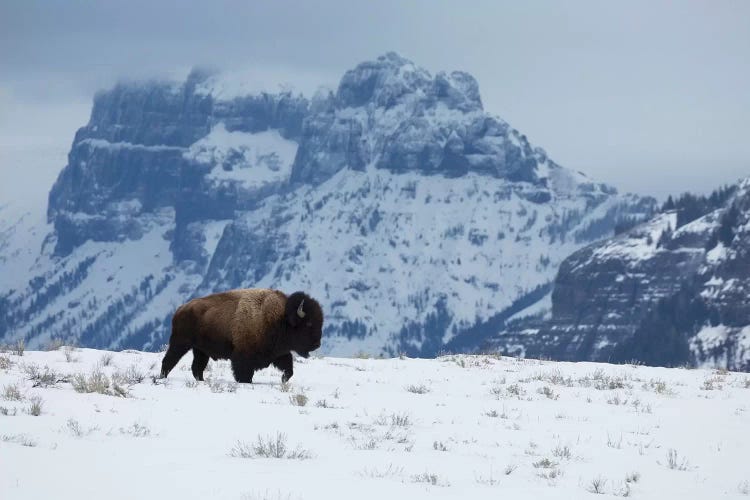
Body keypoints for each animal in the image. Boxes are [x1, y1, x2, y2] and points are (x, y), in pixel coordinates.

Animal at [159, 290, 324, 382]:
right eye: (309, 323)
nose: (317, 344)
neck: (280, 318)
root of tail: (180, 309)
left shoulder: (280, 354)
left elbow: (289, 370)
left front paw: (283, 380)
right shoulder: (243, 358)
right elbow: (244, 374)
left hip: (200, 350)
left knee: (197, 367)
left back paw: (202, 381)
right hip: (180, 343)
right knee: (169, 360)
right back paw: (162, 377)